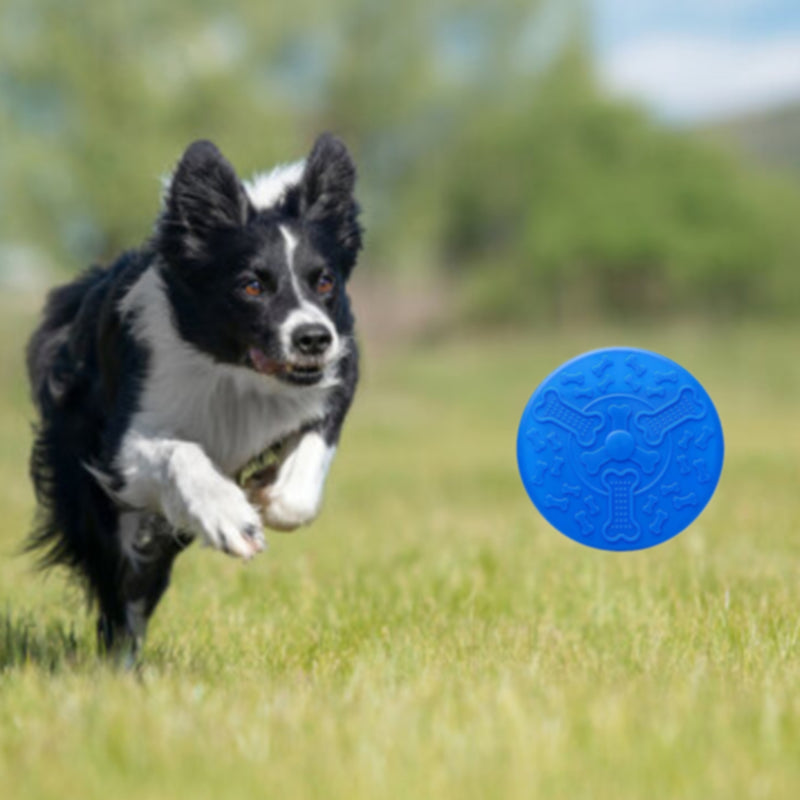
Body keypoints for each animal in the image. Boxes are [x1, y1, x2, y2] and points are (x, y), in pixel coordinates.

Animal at [25, 136, 362, 664]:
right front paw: (230, 516)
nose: (313, 338)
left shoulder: (340, 369)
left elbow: (304, 480)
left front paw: (268, 492)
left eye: (324, 280)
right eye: (251, 285)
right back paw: (120, 667)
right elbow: (179, 452)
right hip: (90, 497)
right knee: (121, 589)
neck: (232, 370)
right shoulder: (118, 451)